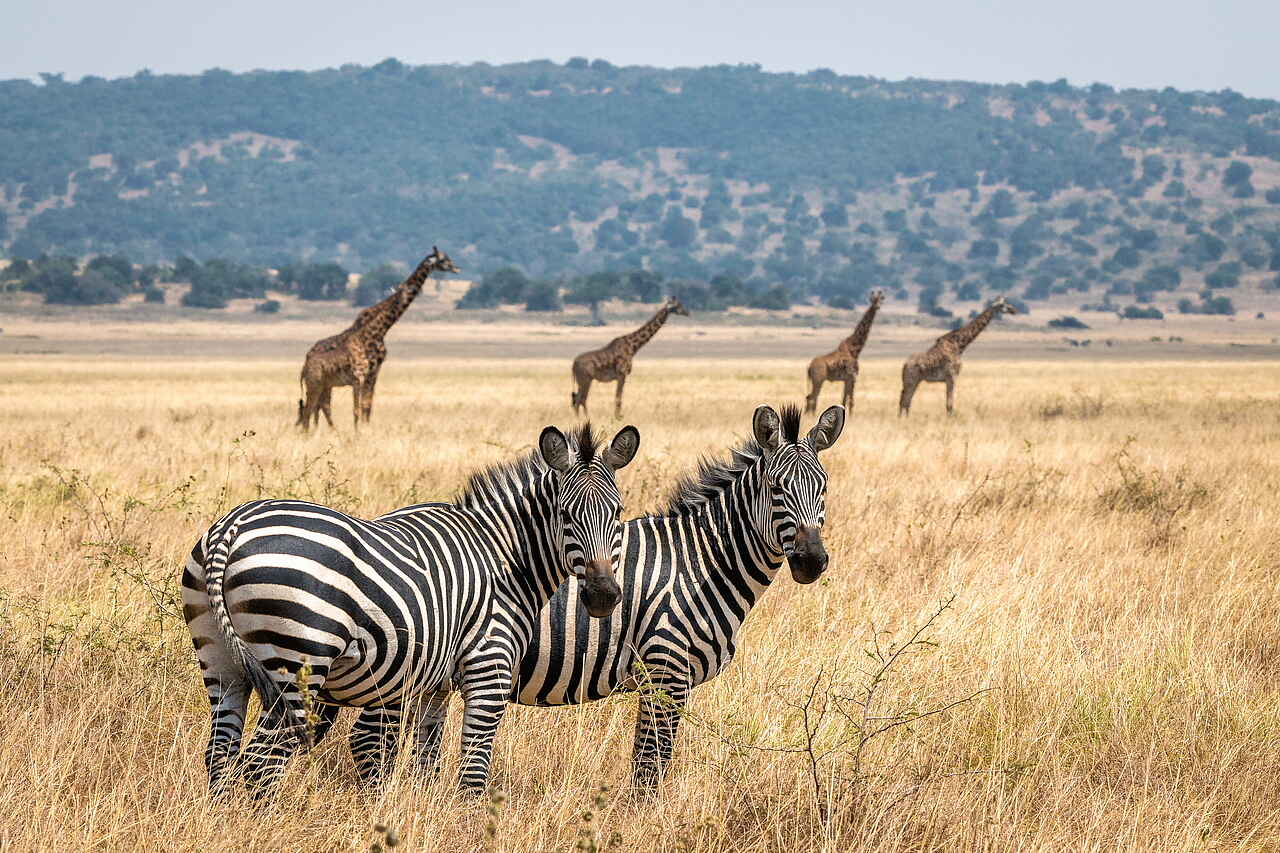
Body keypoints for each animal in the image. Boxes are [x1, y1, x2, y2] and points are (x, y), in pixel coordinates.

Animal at [181, 421, 640, 795]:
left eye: (618, 512)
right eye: (565, 514)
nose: (603, 595)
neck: (503, 557)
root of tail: (232, 526)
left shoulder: (434, 684)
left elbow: (426, 758)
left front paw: (421, 810)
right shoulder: (488, 667)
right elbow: (473, 768)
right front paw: (469, 824)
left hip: (221, 661)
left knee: (220, 751)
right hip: (298, 663)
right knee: (262, 761)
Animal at [506, 403, 846, 787]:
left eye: (824, 487)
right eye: (776, 488)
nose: (811, 561)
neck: (699, 563)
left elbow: (647, 762)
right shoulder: (666, 671)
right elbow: (651, 767)